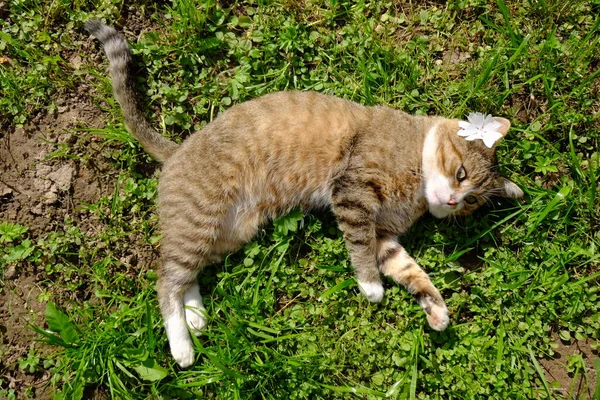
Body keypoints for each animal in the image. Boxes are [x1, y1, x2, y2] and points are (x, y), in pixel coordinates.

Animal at [85, 20, 524, 368]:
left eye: (471, 202)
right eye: (461, 174)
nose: (452, 203)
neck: (415, 163)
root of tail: (176, 151)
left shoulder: (385, 235)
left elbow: (409, 270)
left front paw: (436, 310)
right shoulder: (352, 194)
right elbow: (361, 249)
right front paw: (371, 287)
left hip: (228, 234)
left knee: (187, 275)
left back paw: (195, 316)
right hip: (198, 223)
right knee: (165, 280)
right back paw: (182, 346)